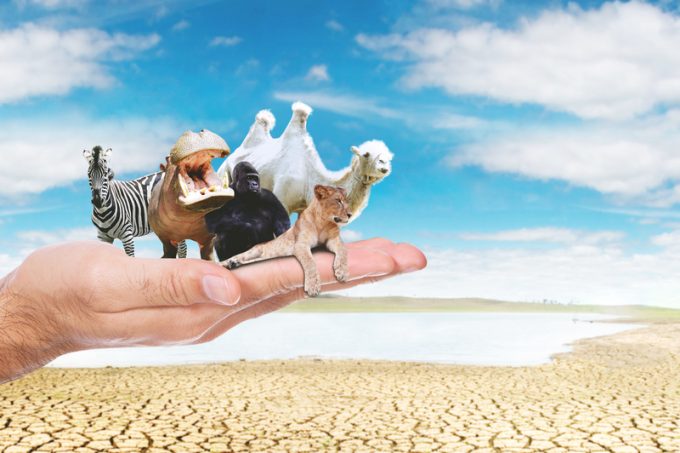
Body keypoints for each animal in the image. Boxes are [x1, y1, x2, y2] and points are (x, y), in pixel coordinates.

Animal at [222, 103, 394, 222]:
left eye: (389, 156)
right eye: (366, 154)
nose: (385, 166)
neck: (309, 178)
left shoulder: (304, 209)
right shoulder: (282, 201)